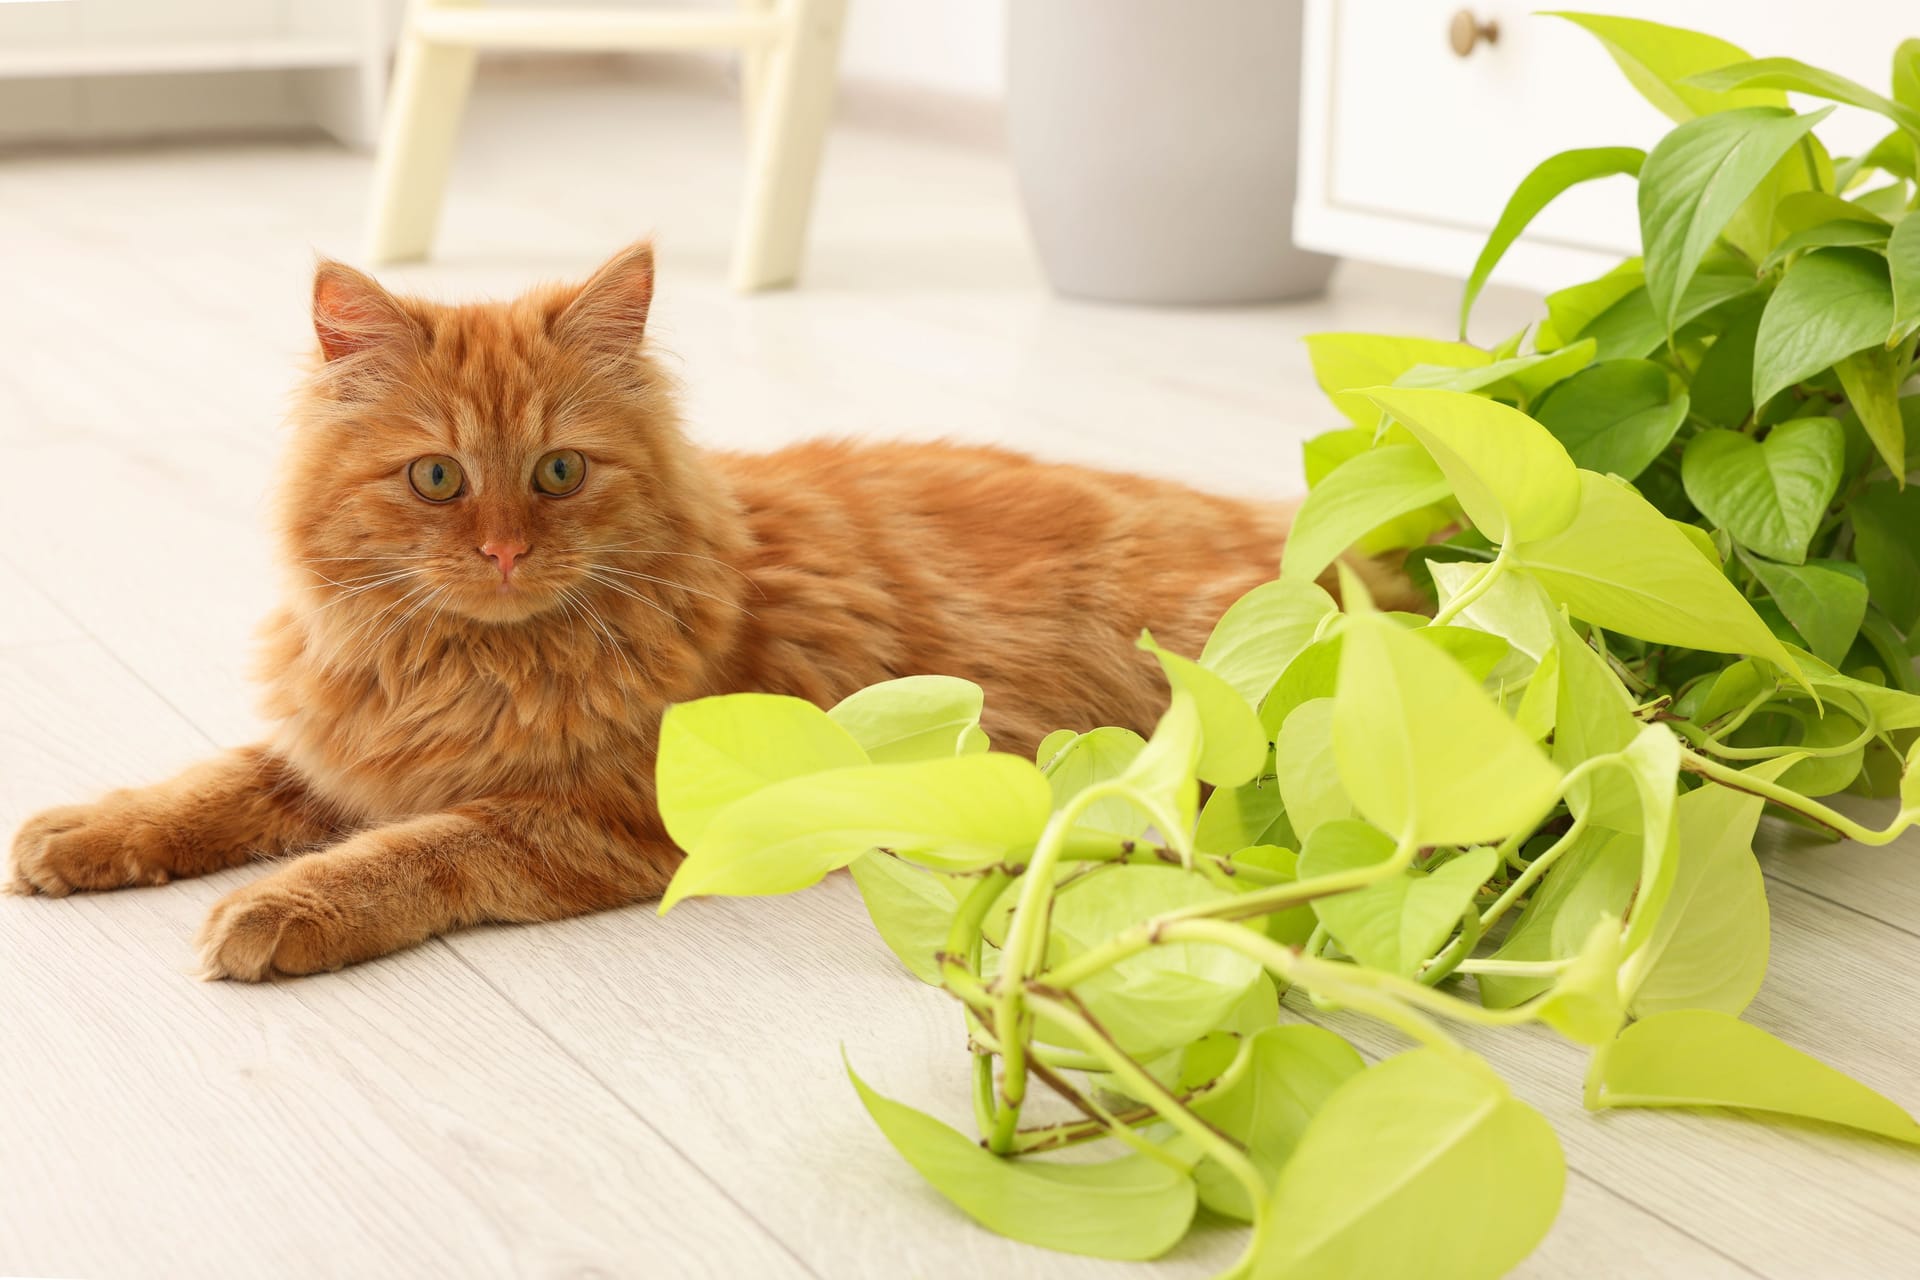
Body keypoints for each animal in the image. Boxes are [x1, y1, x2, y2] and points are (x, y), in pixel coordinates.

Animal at [3, 242, 1413, 982]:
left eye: (559, 472)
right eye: (438, 478)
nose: (504, 549)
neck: (471, 663)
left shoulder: (597, 818)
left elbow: (417, 850)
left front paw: (276, 910)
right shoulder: (338, 746)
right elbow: (209, 785)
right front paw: (79, 834)